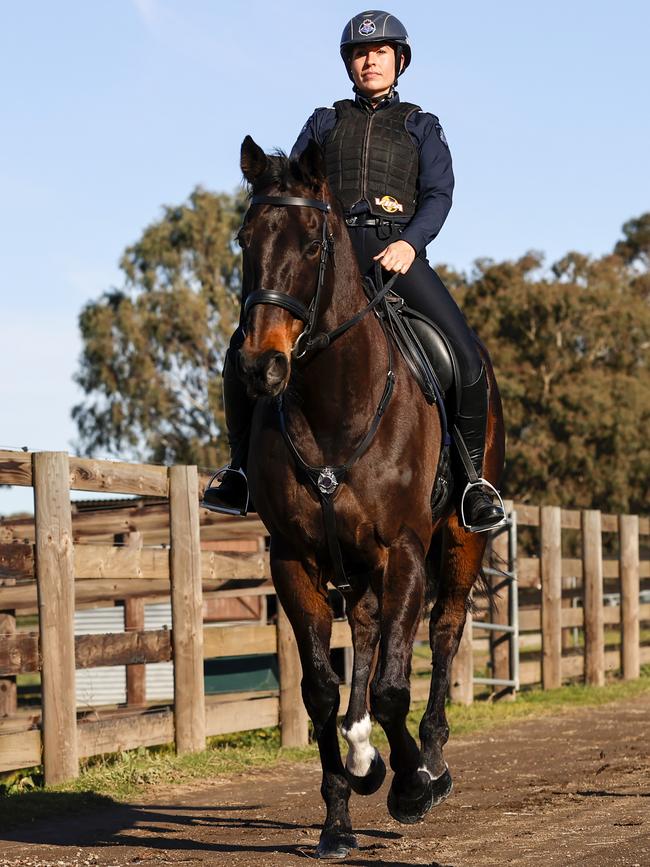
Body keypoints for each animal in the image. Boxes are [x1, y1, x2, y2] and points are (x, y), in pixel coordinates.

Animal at [235, 136, 504, 860]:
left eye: (312, 244)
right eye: (245, 240)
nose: (261, 366)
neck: (332, 403)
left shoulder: (403, 551)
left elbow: (390, 689)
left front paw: (412, 786)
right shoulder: (294, 561)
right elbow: (321, 691)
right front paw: (338, 817)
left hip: (459, 541)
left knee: (443, 631)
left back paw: (431, 758)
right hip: (351, 565)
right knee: (363, 631)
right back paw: (362, 757)